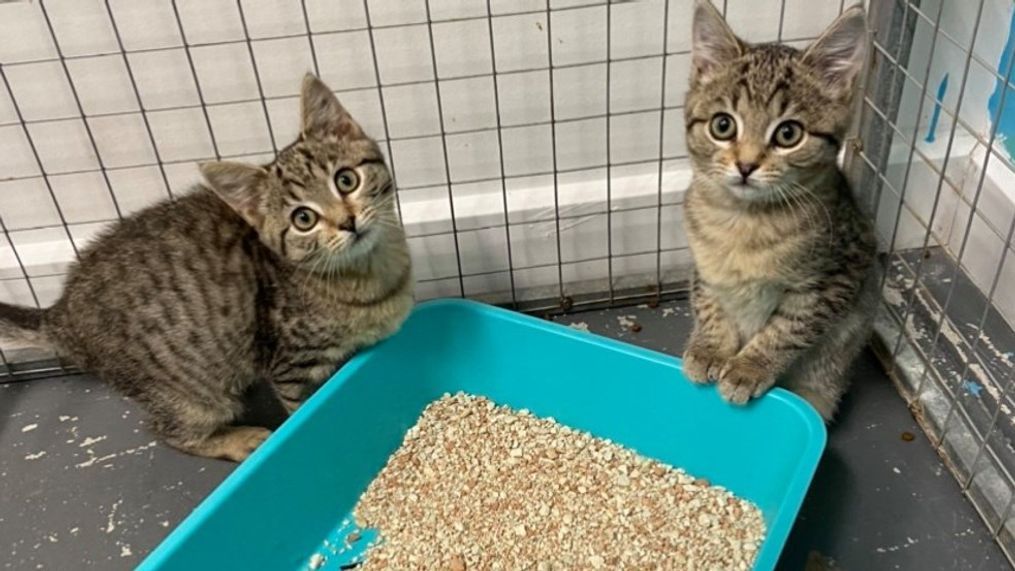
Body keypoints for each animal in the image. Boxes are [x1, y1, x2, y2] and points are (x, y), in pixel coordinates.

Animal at [0, 75, 414, 460]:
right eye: (303, 219)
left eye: (346, 180)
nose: (347, 222)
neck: (369, 273)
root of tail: (60, 312)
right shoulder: (289, 365)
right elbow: (303, 409)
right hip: (187, 390)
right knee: (170, 431)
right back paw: (235, 440)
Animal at [682, 1, 881, 419]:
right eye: (722, 125)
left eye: (788, 134)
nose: (745, 165)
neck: (745, 219)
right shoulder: (703, 268)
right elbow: (708, 303)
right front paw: (710, 347)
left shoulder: (833, 280)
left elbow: (789, 328)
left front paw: (748, 367)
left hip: (830, 369)